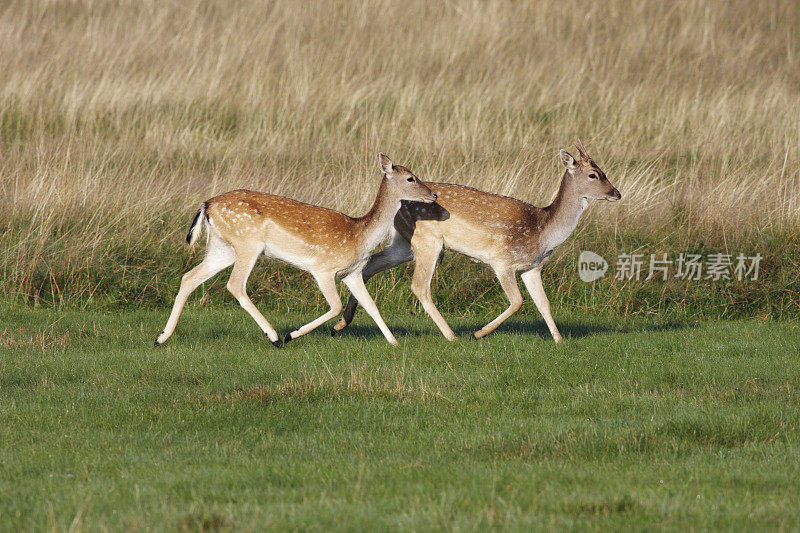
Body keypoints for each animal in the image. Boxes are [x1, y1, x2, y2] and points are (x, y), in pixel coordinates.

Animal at [155, 153, 438, 350]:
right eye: (411, 178)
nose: (434, 195)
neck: (359, 235)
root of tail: (207, 205)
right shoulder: (323, 268)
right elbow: (336, 306)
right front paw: (292, 335)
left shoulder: (352, 273)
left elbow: (371, 306)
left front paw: (394, 342)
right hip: (247, 243)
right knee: (235, 285)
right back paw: (274, 337)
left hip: (222, 248)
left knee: (189, 277)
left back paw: (161, 337)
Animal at [332, 141, 620, 340]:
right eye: (594, 174)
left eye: (602, 170)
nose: (616, 193)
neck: (543, 230)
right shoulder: (502, 261)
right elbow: (518, 301)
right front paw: (480, 332)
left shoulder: (532, 267)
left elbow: (544, 304)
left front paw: (559, 339)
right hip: (428, 242)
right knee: (419, 285)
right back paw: (451, 334)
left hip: (403, 244)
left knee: (370, 265)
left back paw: (340, 324)